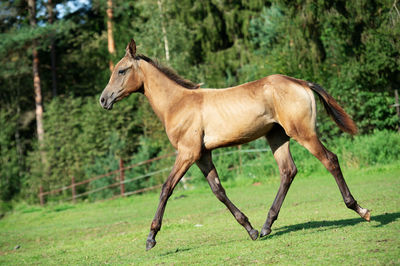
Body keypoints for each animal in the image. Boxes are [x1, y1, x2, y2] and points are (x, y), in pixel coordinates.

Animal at [99, 38, 368, 250]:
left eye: (121, 70)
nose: (103, 100)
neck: (178, 103)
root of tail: (301, 82)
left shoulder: (187, 153)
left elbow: (166, 188)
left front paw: (151, 238)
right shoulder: (202, 155)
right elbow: (218, 190)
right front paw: (250, 229)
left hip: (303, 133)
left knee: (330, 160)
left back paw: (360, 209)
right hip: (277, 137)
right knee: (288, 171)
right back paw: (266, 226)